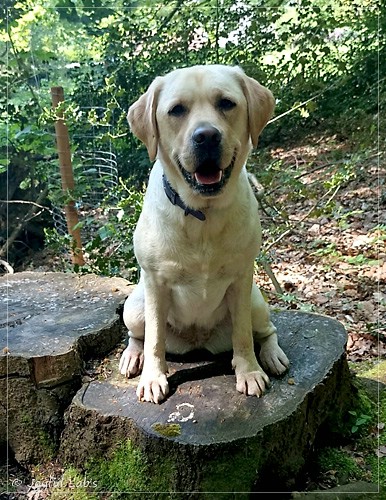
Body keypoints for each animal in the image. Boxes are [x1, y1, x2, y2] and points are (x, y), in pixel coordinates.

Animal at [119, 65, 288, 402]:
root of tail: (198, 341)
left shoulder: (241, 278)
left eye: (226, 103)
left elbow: (243, 335)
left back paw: (272, 354)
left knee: (265, 331)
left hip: (256, 301)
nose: (207, 136)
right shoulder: (155, 284)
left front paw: (249, 371)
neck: (202, 214)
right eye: (176, 110)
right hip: (134, 306)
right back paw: (133, 355)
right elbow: (154, 339)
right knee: (138, 335)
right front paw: (153, 378)